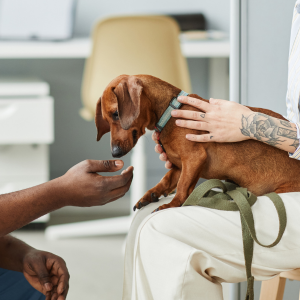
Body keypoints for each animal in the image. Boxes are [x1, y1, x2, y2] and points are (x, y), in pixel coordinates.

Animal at [95, 74, 300, 211]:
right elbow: (166, 180)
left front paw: (172, 204)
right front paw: (150, 194)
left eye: (116, 114)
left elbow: (182, 187)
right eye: (107, 118)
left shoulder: (194, 159)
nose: (114, 153)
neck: (170, 113)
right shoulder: (179, 166)